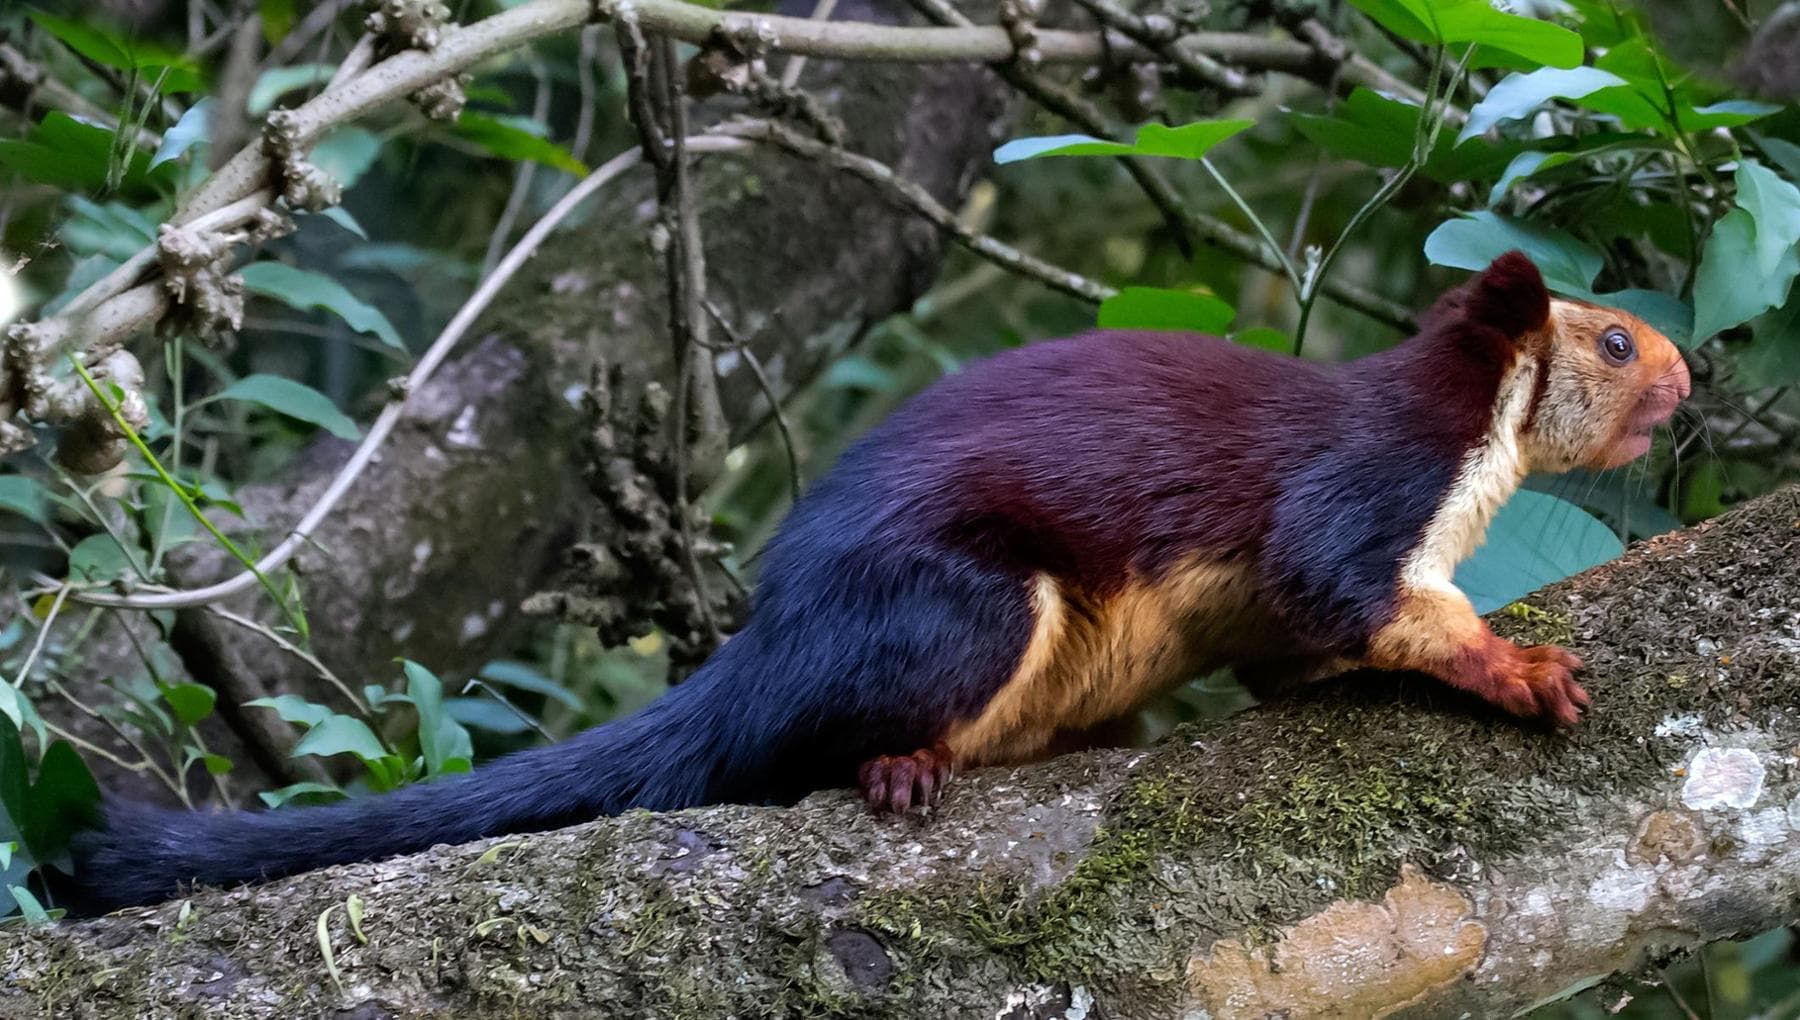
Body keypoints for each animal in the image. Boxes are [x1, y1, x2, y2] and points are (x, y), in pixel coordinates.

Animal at [60, 251, 1690, 912]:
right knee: (812, 737)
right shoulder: (1360, 489)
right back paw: (896, 765)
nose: (1692, 377)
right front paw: (1523, 670)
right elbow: (1357, 596)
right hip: (963, 607)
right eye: (1613, 339)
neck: (1471, 463)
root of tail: (770, 639)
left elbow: (1303, 654)